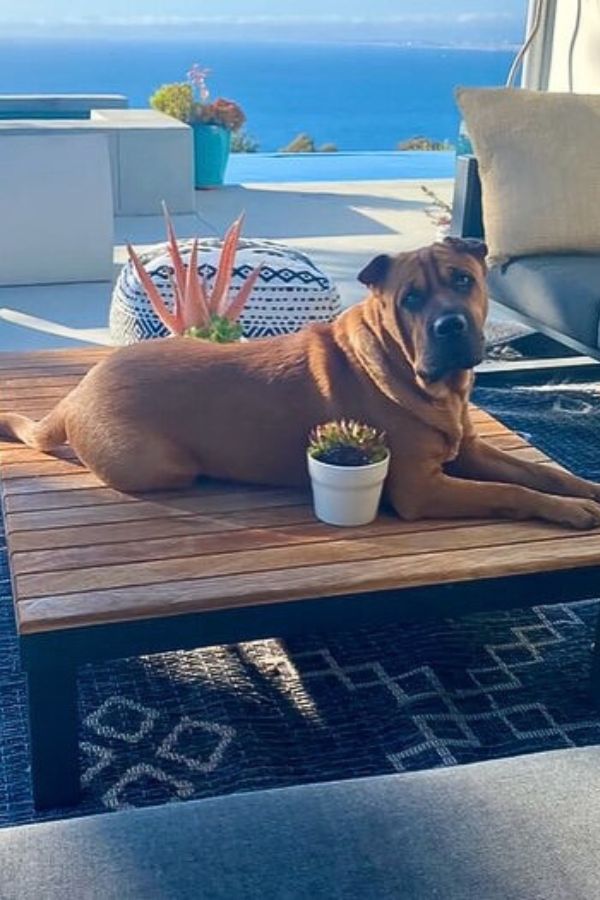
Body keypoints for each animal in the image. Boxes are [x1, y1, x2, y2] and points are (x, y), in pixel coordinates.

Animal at [1, 237, 600, 528]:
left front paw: (584, 490)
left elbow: (538, 472)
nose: (449, 326)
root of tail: (77, 392)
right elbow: (510, 490)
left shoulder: (470, 452)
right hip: (164, 465)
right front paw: (567, 510)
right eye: (410, 298)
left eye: (463, 281)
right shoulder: (421, 488)